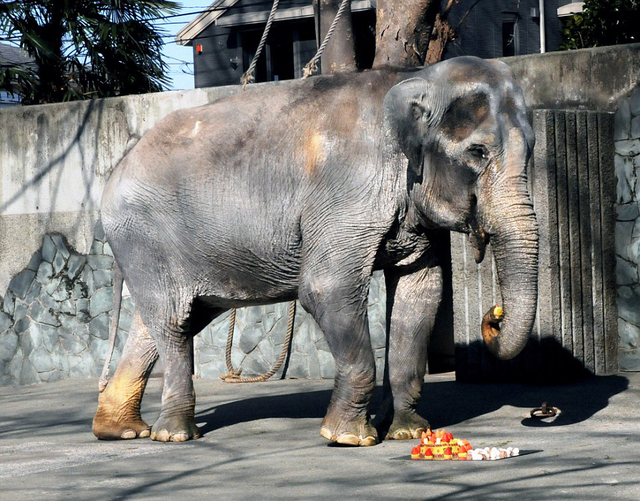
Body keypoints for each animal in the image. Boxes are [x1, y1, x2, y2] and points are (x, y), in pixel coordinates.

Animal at [92, 55, 536, 446]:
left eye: (532, 150)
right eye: (477, 153)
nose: (493, 315)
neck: (414, 76)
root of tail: (117, 167)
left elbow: (421, 291)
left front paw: (409, 432)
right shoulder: (346, 191)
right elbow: (327, 288)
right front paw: (349, 438)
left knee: (164, 322)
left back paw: (121, 430)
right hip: (145, 237)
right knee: (173, 320)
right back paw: (174, 434)